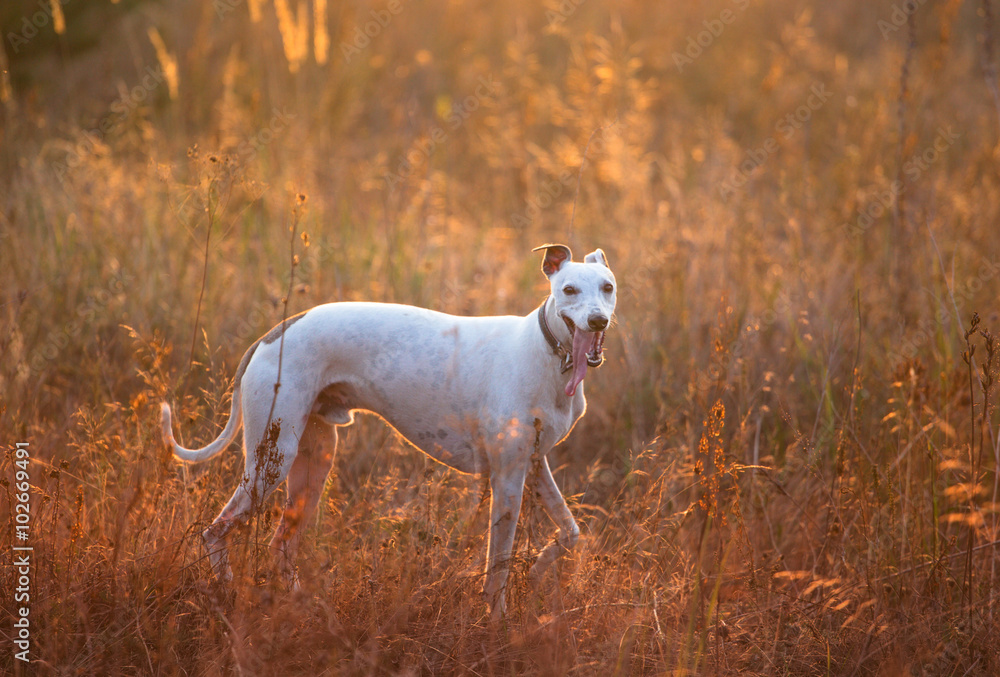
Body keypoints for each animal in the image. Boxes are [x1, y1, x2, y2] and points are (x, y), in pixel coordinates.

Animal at [162, 243, 616, 616]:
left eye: (607, 287)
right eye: (569, 290)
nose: (597, 321)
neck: (546, 350)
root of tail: (274, 333)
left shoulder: (533, 465)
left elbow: (571, 531)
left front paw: (539, 569)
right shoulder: (507, 478)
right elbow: (499, 565)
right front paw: (496, 622)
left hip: (313, 462)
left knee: (280, 546)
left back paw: (305, 607)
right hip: (270, 464)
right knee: (214, 531)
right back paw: (227, 590)